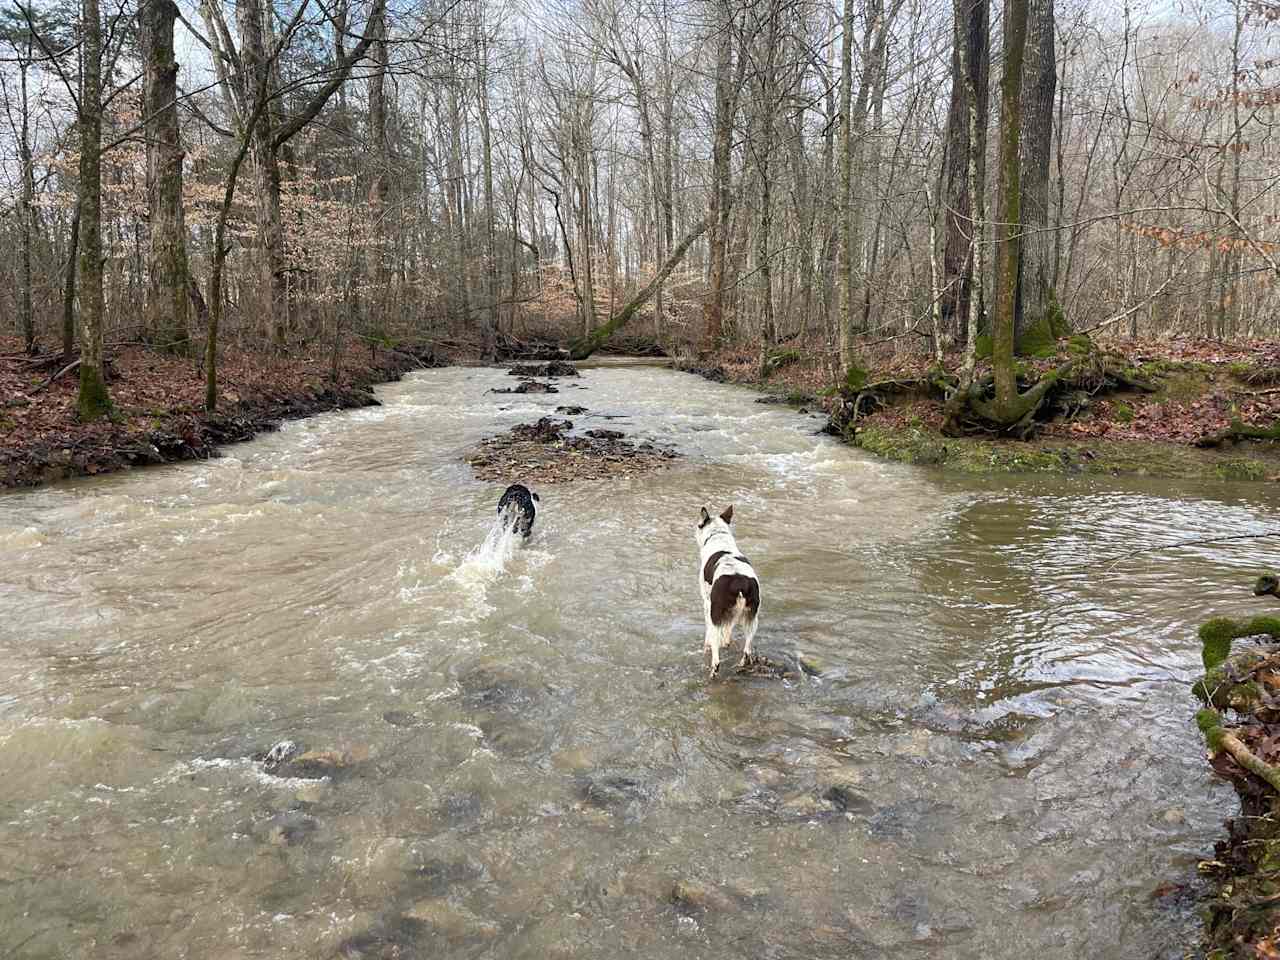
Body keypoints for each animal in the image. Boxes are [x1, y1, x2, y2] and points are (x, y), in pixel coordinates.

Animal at [701, 506, 757, 680]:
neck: (718, 536)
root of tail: (739, 583)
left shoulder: (707, 604)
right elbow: (729, 629)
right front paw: (726, 642)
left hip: (716, 614)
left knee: (717, 658)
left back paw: (713, 672)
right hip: (752, 619)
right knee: (747, 649)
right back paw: (742, 665)